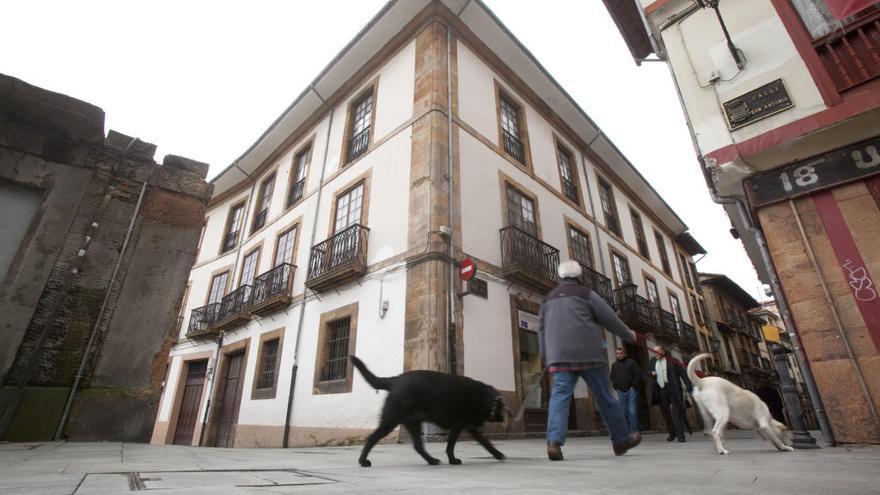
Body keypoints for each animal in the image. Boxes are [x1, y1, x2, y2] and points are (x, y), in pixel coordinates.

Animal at [348, 356, 506, 464]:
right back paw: (363, 461)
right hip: (390, 421)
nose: (503, 419)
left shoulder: (470, 427)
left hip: (413, 424)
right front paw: (453, 460)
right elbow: (451, 446)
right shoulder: (458, 426)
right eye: (502, 409)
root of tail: (395, 380)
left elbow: (486, 442)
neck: (484, 398)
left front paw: (497, 454)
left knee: (418, 446)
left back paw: (432, 460)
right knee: (372, 438)